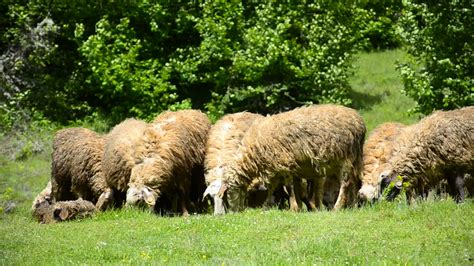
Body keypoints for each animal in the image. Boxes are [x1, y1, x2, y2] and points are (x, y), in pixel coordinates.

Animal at [206, 104, 364, 214]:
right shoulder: (275, 169)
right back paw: (353, 206)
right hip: (348, 160)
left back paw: (337, 207)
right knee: (353, 182)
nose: (235, 212)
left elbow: (289, 187)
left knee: (345, 183)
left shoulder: (284, 164)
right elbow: (272, 188)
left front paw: (294, 208)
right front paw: (266, 207)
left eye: (228, 195)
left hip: (345, 158)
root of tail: (359, 121)